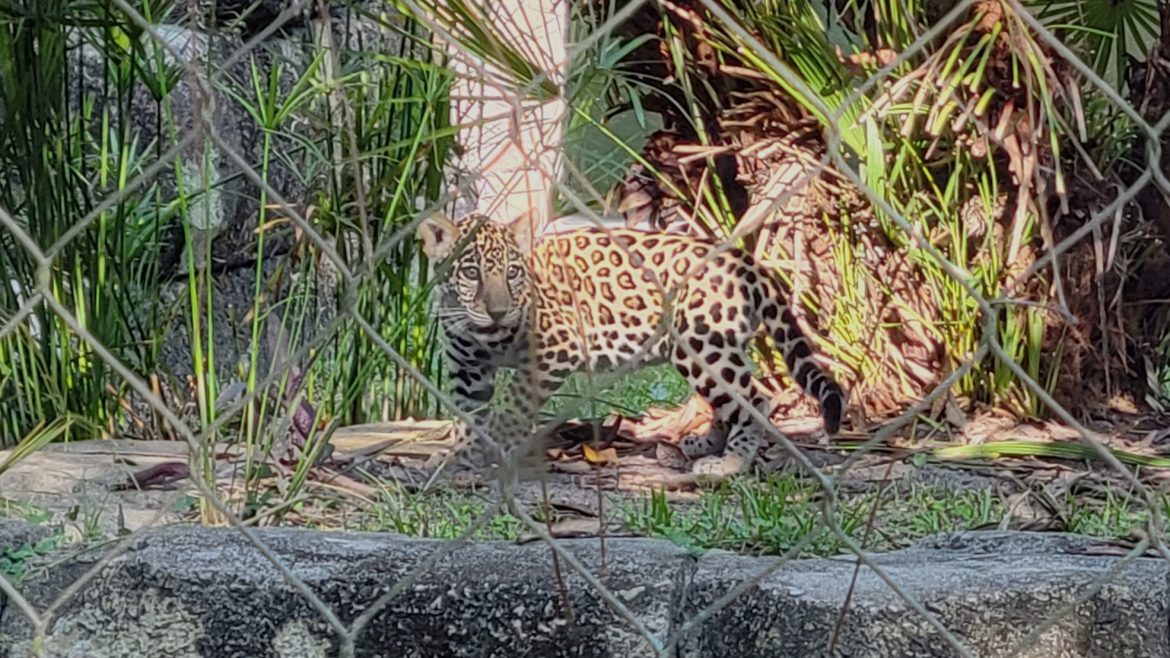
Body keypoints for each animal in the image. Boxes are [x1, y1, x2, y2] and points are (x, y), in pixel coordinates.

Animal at [419, 212, 845, 478]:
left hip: (702, 346)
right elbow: (468, 417)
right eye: (471, 273)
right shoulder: (468, 373)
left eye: (511, 273)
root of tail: (744, 259)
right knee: (728, 399)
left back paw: (730, 462)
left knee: (754, 398)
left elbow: (511, 408)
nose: (498, 312)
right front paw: (459, 455)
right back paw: (705, 443)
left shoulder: (553, 350)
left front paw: (488, 450)